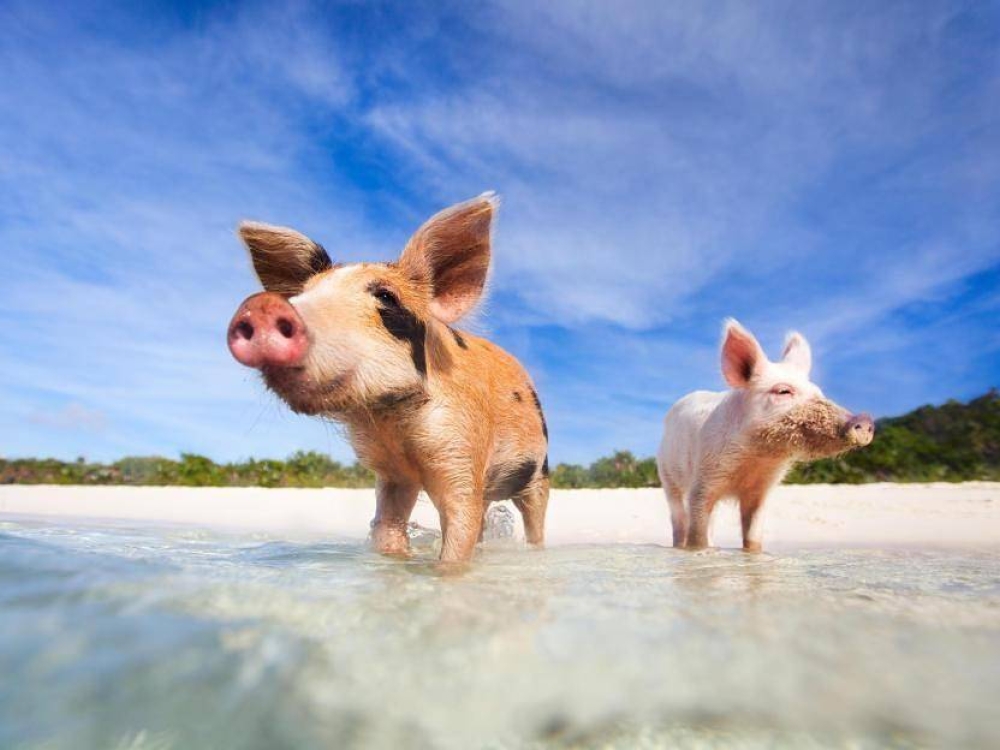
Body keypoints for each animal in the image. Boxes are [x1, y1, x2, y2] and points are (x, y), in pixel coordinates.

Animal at [652, 318, 872, 552]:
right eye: (783, 391)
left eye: (819, 393)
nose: (864, 420)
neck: (756, 458)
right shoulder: (703, 480)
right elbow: (696, 532)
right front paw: (698, 551)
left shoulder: (761, 490)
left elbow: (753, 535)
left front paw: (752, 553)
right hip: (667, 475)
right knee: (678, 518)